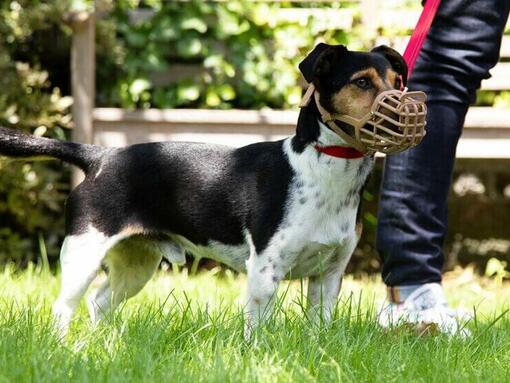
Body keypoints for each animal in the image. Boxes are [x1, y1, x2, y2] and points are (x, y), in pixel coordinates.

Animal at [0, 42, 408, 336]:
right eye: (361, 82)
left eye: (397, 81)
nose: (404, 110)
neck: (320, 169)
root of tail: (100, 156)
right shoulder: (265, 271)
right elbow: (256, 330)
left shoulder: (328, 274)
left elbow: (319, 328)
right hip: (83, 252)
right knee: (64, 307)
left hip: (136, 262)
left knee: (100, 301)